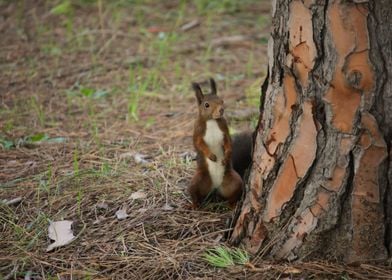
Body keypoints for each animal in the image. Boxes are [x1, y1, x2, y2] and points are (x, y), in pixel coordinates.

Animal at [188, 77, 253, 209]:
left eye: (221, 101)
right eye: (206, 105)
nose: (221, 110)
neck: (212, 121)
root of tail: (215, 188)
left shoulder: (224, 130)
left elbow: (228, 142)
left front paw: (226, 156)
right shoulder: (197, 131)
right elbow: (199, 144)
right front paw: (211, 155)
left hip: (234, 181)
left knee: (234, 193)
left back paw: (233, 204)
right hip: (198, 180)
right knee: (194, 192)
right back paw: (194, 205)